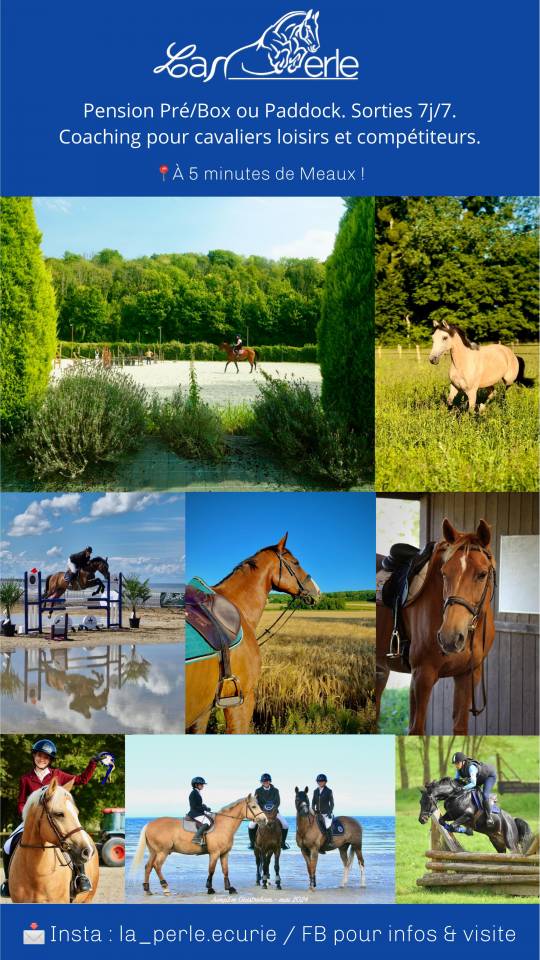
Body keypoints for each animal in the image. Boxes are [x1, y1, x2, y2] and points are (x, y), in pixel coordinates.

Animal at [131, 795, 267, 896]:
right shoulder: (214, 853)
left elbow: (225, 870)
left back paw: (147, 890)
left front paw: (229, 888)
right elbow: (211, 870)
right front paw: (210, 888)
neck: (223, 825)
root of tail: (149, 824)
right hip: (162, 852)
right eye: (254, 806)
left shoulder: (224, 853)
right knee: (157, 866)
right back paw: (165, 888)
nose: (264, 820)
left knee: (148, 867)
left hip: (154, 851)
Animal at [376, 518, 496, 735]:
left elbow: (460, 728)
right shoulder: (422, 676)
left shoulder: (467, 676)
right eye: (444, 573)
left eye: (482, 574)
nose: (449, 638)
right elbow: (416, 729)